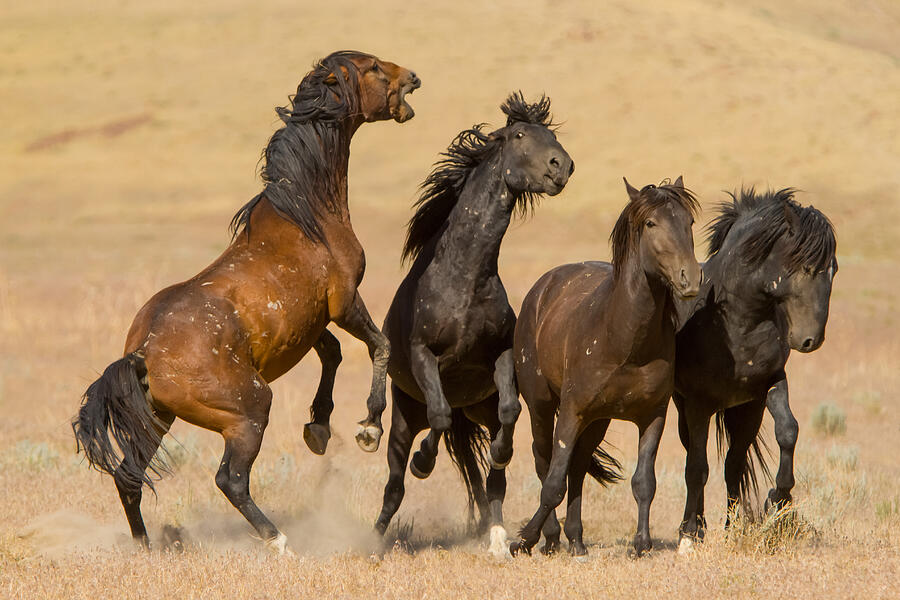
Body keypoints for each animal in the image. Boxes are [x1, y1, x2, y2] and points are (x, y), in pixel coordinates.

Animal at [72, 51, 420, 552]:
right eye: (372, 66)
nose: (412, 78)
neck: (306, 213)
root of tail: (144, 352)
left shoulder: (308, 323)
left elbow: (333, 354)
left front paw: (318, 428)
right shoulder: (344, 303)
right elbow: (380, 347)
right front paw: (369, 427)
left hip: (157, 418)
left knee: (128, 475)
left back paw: (146, 546)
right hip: (248, 412)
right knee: (230, 479)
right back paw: (278, 541)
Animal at [374, 91, 576, 556]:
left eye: (550, 134)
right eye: (519, 135)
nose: (563, 166)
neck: (464, 276)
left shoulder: (501, 355)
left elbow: (509, 413)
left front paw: (501, 453)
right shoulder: (424, 355)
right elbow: (440, 415)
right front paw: (423, 461)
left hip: (476, 408)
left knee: (489, 478)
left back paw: (500, 537)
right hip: (403, 415)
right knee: (396, 481)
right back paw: (375, 536)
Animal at [510, 178, 700, 556]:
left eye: (689, 221)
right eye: (651, 223)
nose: (691, 278)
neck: (624, 340)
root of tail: (541, 288)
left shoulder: (653, 416)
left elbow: (644, 482)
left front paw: (641, 544)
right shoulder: (571, 412)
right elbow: (553, 483)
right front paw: (523, 539)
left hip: (598, 420)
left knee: (579, 466)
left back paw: (576, 540)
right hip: (541, 405)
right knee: (543, 459)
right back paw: (549, 537)